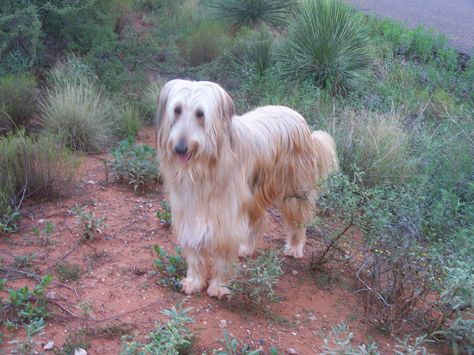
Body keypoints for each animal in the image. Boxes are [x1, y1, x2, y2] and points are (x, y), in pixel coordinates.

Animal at [156, 79, 336, 298]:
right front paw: (194, 281)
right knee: (260, 220)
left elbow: (223, 253)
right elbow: (195, 249)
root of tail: (301, 120)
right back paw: (247, 248)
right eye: (177, 110)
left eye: (200, 114)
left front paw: (219, 285)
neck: (203, 168)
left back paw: (294, 247)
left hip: (294, 190)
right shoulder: (189, 209)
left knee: (298, 219)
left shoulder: (226, 216)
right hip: (253, 194)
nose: (180, 148)